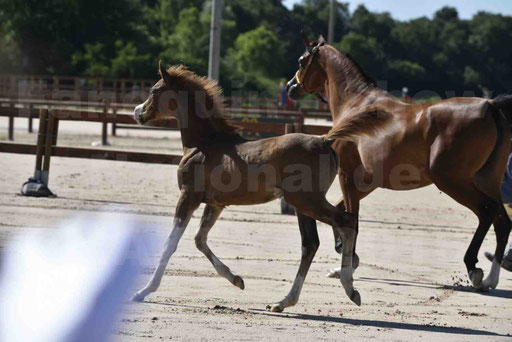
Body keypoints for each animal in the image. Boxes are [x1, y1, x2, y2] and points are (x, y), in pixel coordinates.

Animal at [130, 61, 382, 310]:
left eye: (154, 91)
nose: (137, 112)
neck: (204, 144)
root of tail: (324, 140)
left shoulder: (188, 197)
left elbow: (170, 243)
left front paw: (144, 291)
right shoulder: (216, 203)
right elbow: (199, 239)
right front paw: (236, 279)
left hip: (306, 200)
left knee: (345, 223)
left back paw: (349, 288)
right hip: (302, 204)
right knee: (311, 243)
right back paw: (284, 301)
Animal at [288, 33, 512, 296]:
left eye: (301, 60)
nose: (291, 87)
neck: (356, 104)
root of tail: (490, 105)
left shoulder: (347, 176)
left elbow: (351, 219)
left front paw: (348, 267)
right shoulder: (366, 183)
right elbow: (342, 213)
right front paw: (346, 260)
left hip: (453, 182)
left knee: (487, 212)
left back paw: (474, 270)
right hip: (487, 181)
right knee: (502, 222)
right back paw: (491, 279)